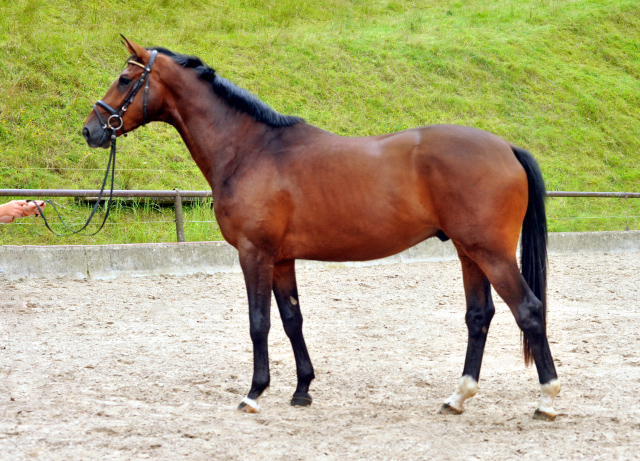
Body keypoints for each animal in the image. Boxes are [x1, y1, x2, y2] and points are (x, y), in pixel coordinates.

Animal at [82, 38, 556, 420]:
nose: (91, 130)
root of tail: (506, 148)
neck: (250, 149)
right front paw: (302, 390)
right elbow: (292, 319)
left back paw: (547, 400)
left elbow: (259, 323)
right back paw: (457, 398)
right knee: (480, 316)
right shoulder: (281, 258)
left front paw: (254, 393)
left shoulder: (254, 253)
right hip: (468, 251)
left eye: (125, 79)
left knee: (529, 310)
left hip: (491, 252)